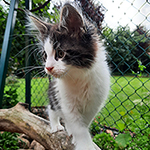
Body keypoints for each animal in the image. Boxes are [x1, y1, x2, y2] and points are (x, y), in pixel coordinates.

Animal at [27, 2, 110, 150]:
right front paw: (85, 145)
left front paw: (86, 140)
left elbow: (85, 123)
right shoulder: (65, 101)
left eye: (60, 53)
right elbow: (78, 127)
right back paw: (56, 125)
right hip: (54, 95)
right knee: (52, 109)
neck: (78, 77)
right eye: (45, 56)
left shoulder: (94, 102)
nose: (48, 67)